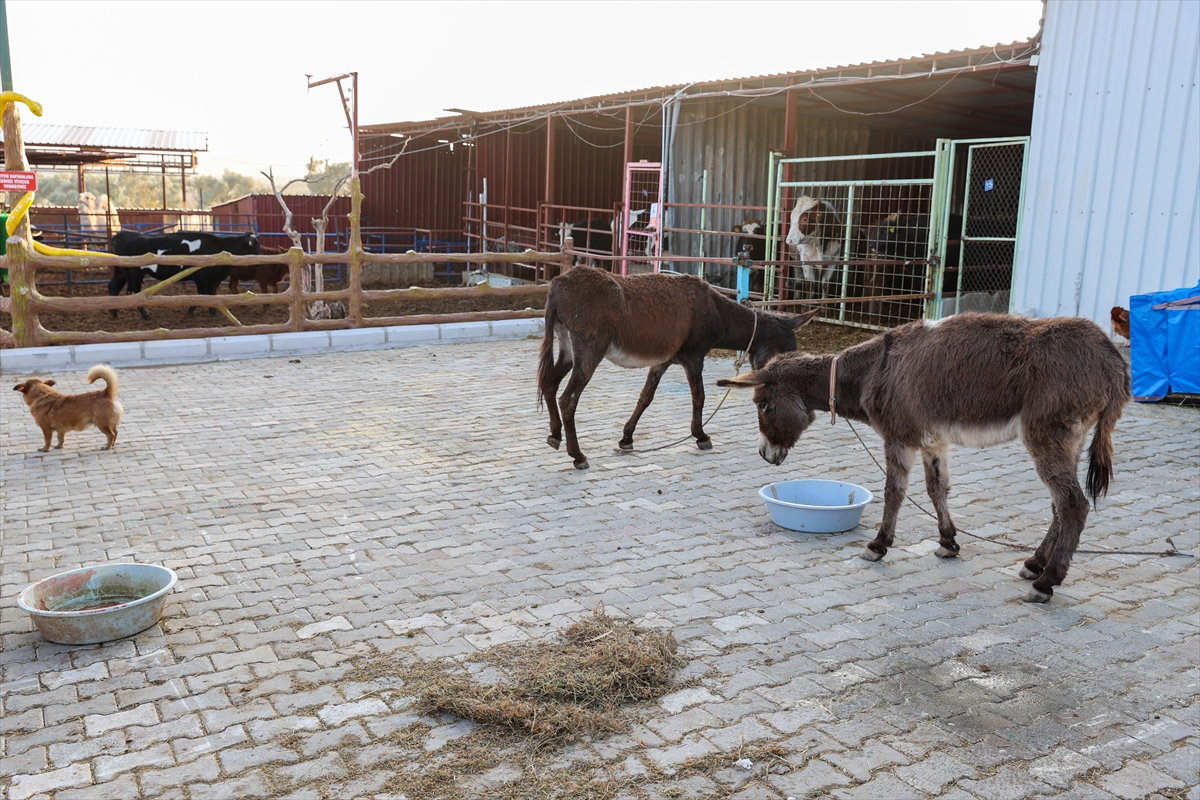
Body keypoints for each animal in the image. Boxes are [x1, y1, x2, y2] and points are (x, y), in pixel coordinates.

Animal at [108, 230, 262, 316]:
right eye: (256, 245)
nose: (262, 260)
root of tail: (121, 234)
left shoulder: (215, 279)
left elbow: (210, 294)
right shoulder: (202, 277)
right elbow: (203, 294)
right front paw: (208, 312)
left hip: (121, 272)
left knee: (113, 287)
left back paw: (113, 313)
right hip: (135, 274)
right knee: (134, 293)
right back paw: (145, 315)